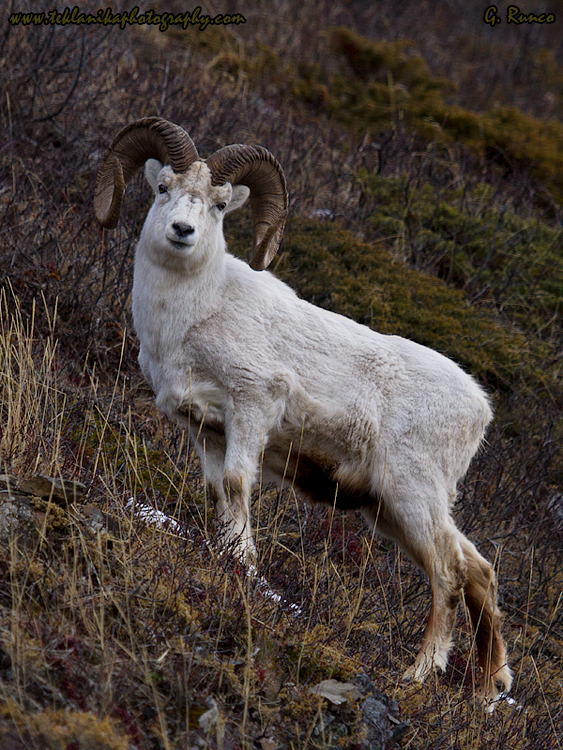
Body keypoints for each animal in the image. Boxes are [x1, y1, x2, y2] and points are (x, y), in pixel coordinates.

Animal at [94, 117, 512, 708]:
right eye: (162, 188)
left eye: (219, 205)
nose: (181, 230)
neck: (193, 314)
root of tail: (480, 408)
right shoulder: (206, 430)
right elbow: (219, 493)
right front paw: (227, 557)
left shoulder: (252, 407)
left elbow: (239, 484)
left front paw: (244, 567)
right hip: (390, 508)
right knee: (478, 570)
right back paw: (488, 688)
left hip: (410, 494)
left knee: (450, 575)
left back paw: (416, 676)